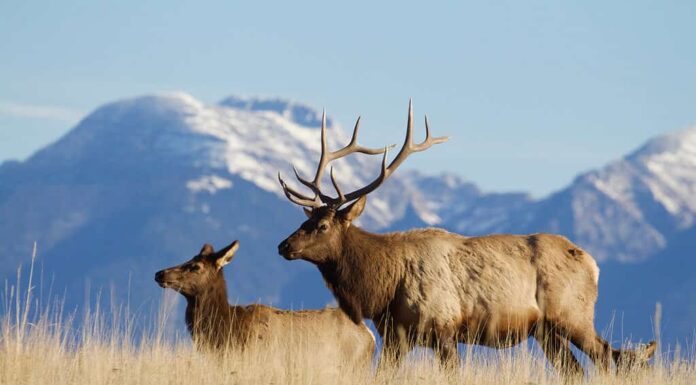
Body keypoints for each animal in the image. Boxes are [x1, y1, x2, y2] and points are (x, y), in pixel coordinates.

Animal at [276, 100, 652, 374]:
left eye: (323, 226)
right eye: (306, 220)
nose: (283, 245)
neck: (383, 289)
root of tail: (593, 263)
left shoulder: (443, 330)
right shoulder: (396, 336)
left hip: (573, 314)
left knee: (606, 357)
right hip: (545, 330)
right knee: (576, 370)